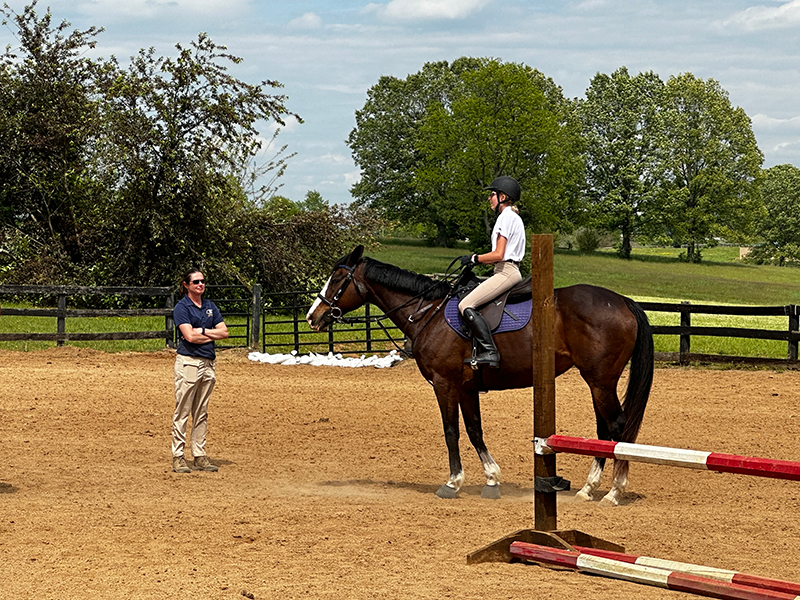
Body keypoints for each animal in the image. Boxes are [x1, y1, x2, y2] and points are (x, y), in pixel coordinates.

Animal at [304, 246, 652, 504]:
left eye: (337, 278)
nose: (312, 317)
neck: (427, 312)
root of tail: (622, 301)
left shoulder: (444, 383)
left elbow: (451, 432)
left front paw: (452, 483)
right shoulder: (466, 387)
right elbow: (474, 431)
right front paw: (492, 480)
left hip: (600, 379)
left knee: (617, 426)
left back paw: (614, 492)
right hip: (596, 381)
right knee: (604, 429)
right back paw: (589, 488)